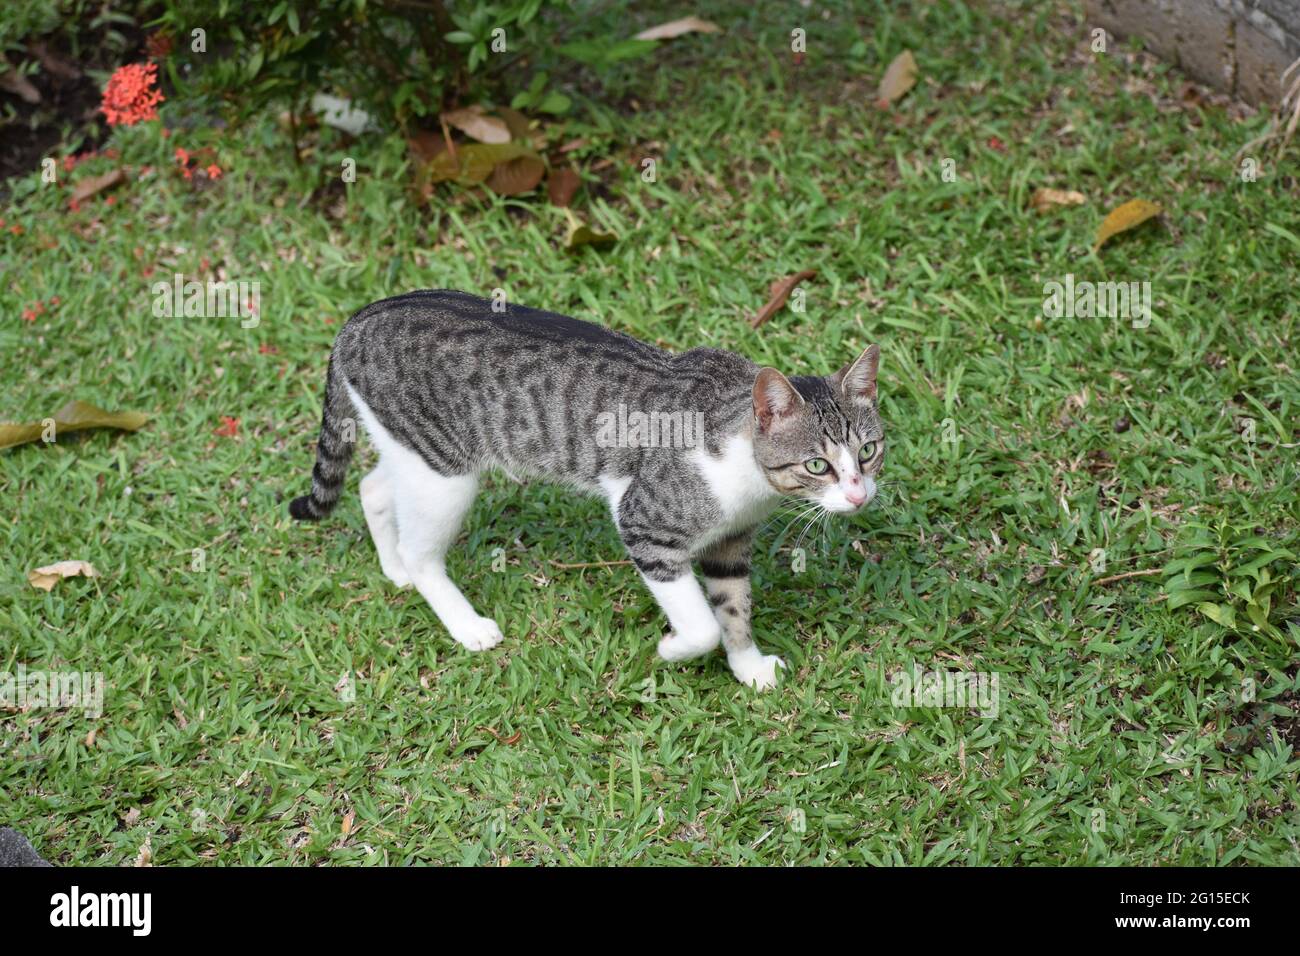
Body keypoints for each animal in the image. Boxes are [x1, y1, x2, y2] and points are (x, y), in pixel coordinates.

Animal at [291, 287, 889, 691]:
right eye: (817, 465)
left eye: (867, 452)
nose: (859, 496)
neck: (748, 476)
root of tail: (361, 316)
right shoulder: (644, 521)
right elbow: (702, 624)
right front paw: (672, 647)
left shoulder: (729, 541)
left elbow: (733, 608)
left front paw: (749, 668)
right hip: (445, 474)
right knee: (421, 549)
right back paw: (461, 621)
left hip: (412, 452)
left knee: (373, 487)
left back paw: (392, 566)